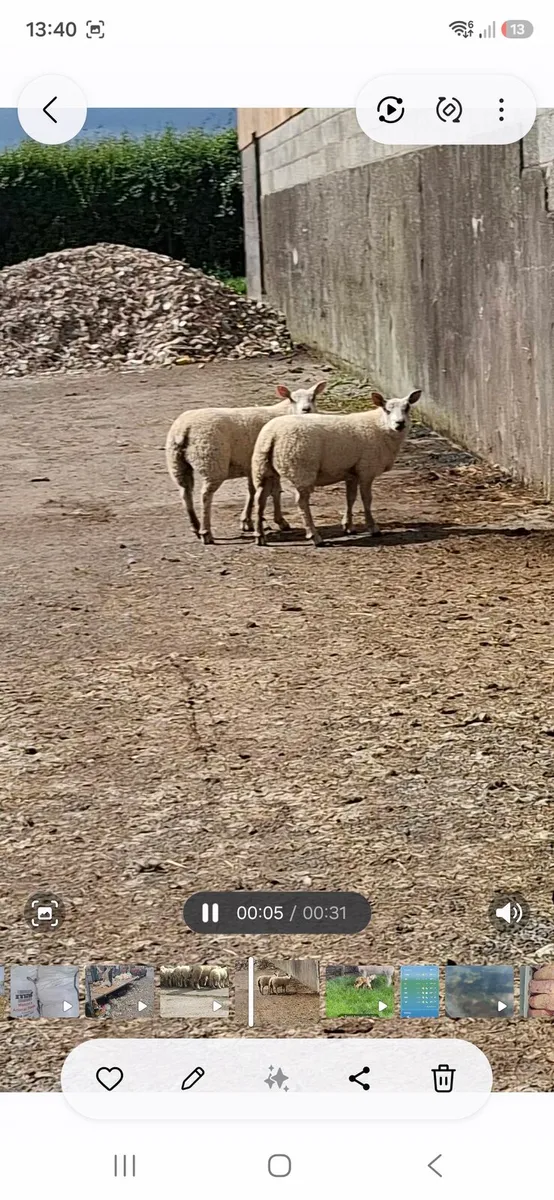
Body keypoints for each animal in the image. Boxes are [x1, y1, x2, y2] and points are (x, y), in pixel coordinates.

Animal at [165, 382, 325, 544]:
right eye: (292, 399)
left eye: (313, 397)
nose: (306, 409)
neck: (285, 411)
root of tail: (184, 429)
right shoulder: (267, 466)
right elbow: (274, 491)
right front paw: (280, 521)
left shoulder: (253, 466)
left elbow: (252, 491)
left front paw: (247, 521)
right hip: (212, 462)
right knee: (205, 496)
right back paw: (206, 532)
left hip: (177, 463)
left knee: (185, 493)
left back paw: (196, 527)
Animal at [252, 390, 421, 546]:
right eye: (387, 410)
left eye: (407, 408)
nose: (400, 423)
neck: (380, 427)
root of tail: (272, 435)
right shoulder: (366, 469)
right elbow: (367, 499)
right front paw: (373, 528)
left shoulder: (352, 472)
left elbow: (350, 498)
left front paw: (348, 526)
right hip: (301, 469)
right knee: (302, 503)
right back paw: (315, 536)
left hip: (263, 468)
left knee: (260, 499)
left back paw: (260, 537)